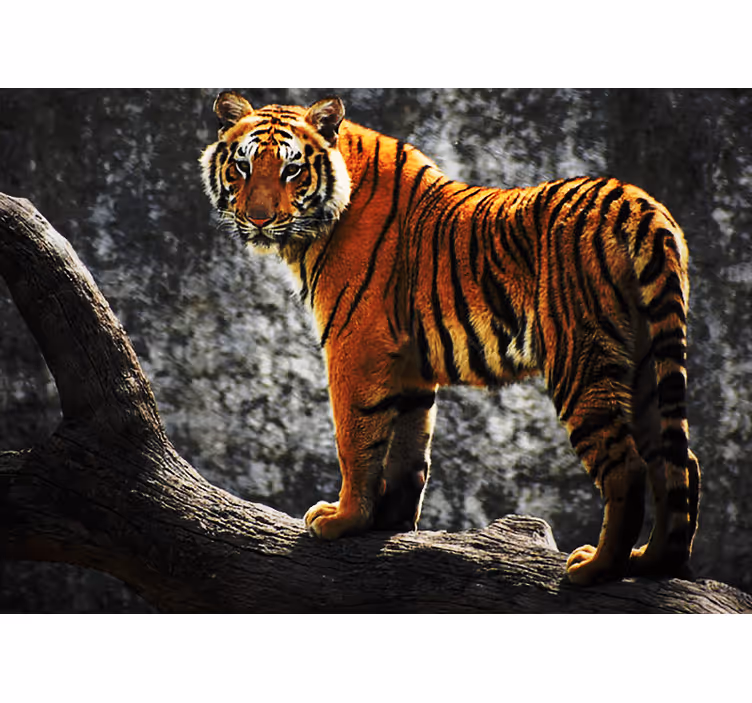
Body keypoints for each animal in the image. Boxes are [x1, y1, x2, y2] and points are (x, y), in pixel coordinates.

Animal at [199, 90, 701, 585]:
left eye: (292, 169)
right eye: (243, 166)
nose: (258, 220)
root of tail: (640, 204)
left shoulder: (355, 344)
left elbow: (356, 439)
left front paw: (343, 519)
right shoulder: (408, 364)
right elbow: (409, 447)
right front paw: (391, 523)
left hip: (580, 359)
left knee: (627, 467)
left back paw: (596, 568)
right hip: (646, 363)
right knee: (677, 462)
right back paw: (654, 562)